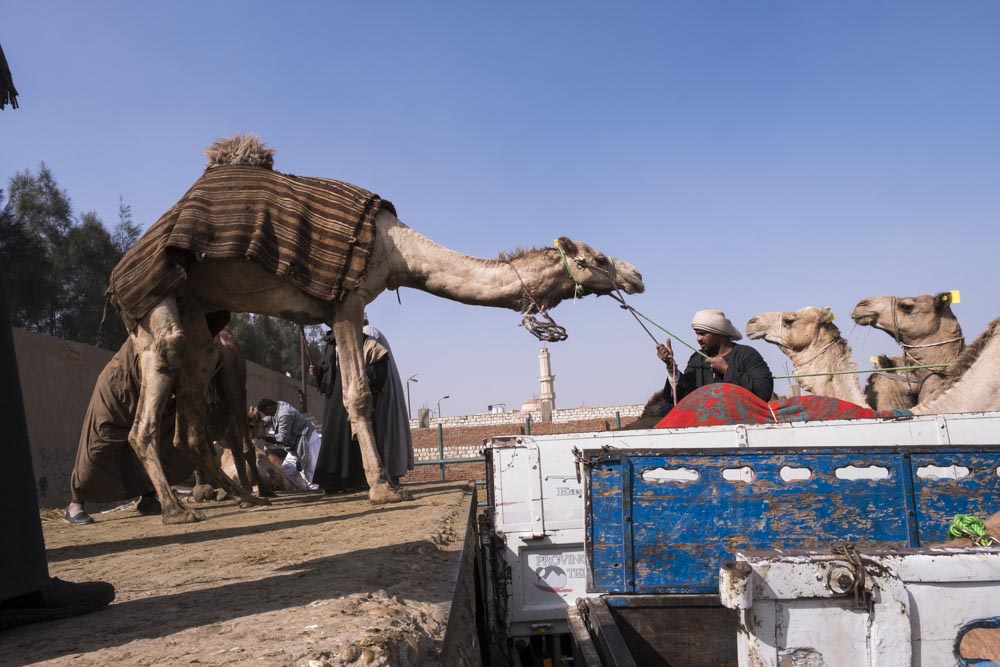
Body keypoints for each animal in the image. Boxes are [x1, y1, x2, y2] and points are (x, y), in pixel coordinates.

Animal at [109, 134, 644, 523]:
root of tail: (120, 275)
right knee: (159, 382)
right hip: (157, 299)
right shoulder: (346, 303)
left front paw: (380, 483)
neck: (396, 250)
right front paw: (384, 490)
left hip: (196, 310)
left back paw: (243, 498)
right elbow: (358, 394)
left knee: (193, 391)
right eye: (596, 258)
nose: (636, 275)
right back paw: (177, 509)